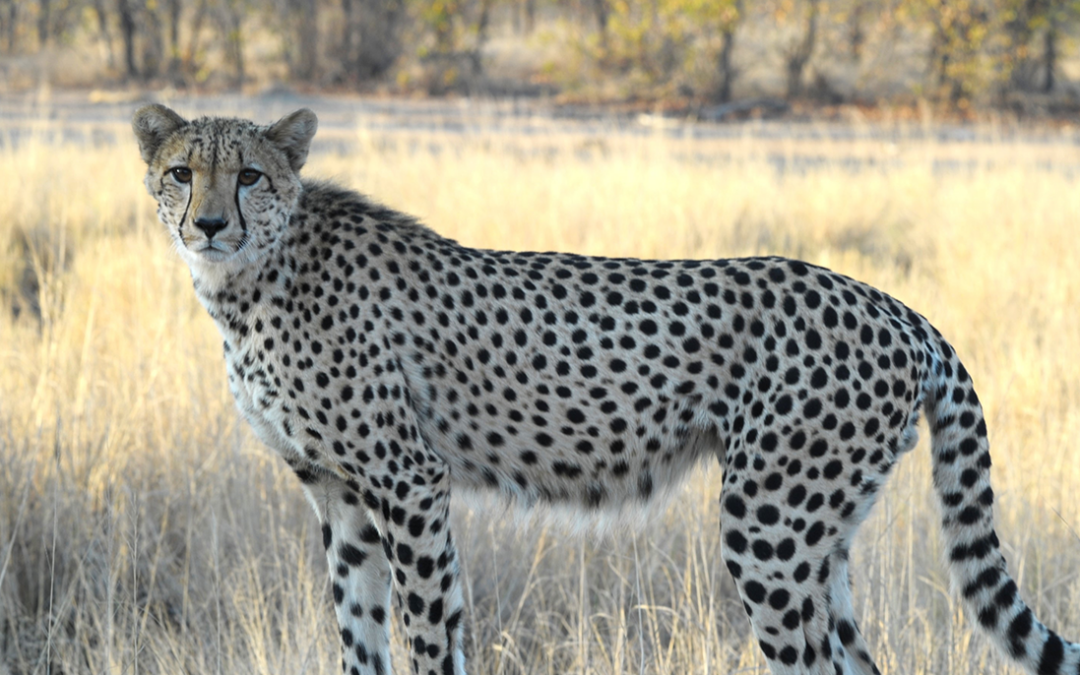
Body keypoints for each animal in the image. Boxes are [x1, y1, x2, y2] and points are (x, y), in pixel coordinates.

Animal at [132, 103, 1079, 675]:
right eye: (183, 171)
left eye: (250, 175)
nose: (207, 223)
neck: (255, 278)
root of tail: (894, 305)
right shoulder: (337, 491)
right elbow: (360, 632)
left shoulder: (408, 481)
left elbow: (430, 625)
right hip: (821, 533)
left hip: (769, 524)